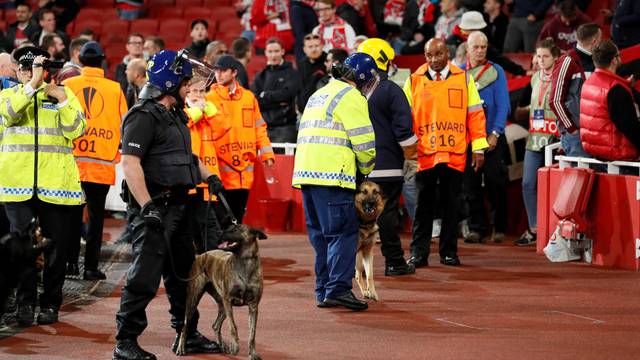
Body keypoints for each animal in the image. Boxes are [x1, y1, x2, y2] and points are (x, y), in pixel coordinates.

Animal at [176, 225, 266, 360]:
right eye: (228, 227)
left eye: (235, 230)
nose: (219, 232)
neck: (244, 262)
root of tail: (200, 255)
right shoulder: (228, 301)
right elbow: (233, 326)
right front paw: (235, 346)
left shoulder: (253, 306)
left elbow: (252, 333)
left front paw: (253, 353)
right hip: (194, 300)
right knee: (185, 326)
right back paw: (181, 348)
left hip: (222, 306)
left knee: (215, 325)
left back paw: (222, 345)